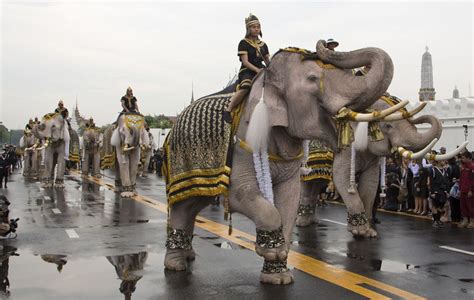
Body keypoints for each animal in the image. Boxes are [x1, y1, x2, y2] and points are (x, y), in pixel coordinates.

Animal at [161, 40, 394, 284]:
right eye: (312, 78)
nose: (325, 43)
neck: (266, 79)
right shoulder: (244, 141)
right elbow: (240, 194)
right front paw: (271, 251)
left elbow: (290, 197)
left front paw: (279, 275)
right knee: (182, 207)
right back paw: (176, 265)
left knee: (193, 205)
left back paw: (188, 256)